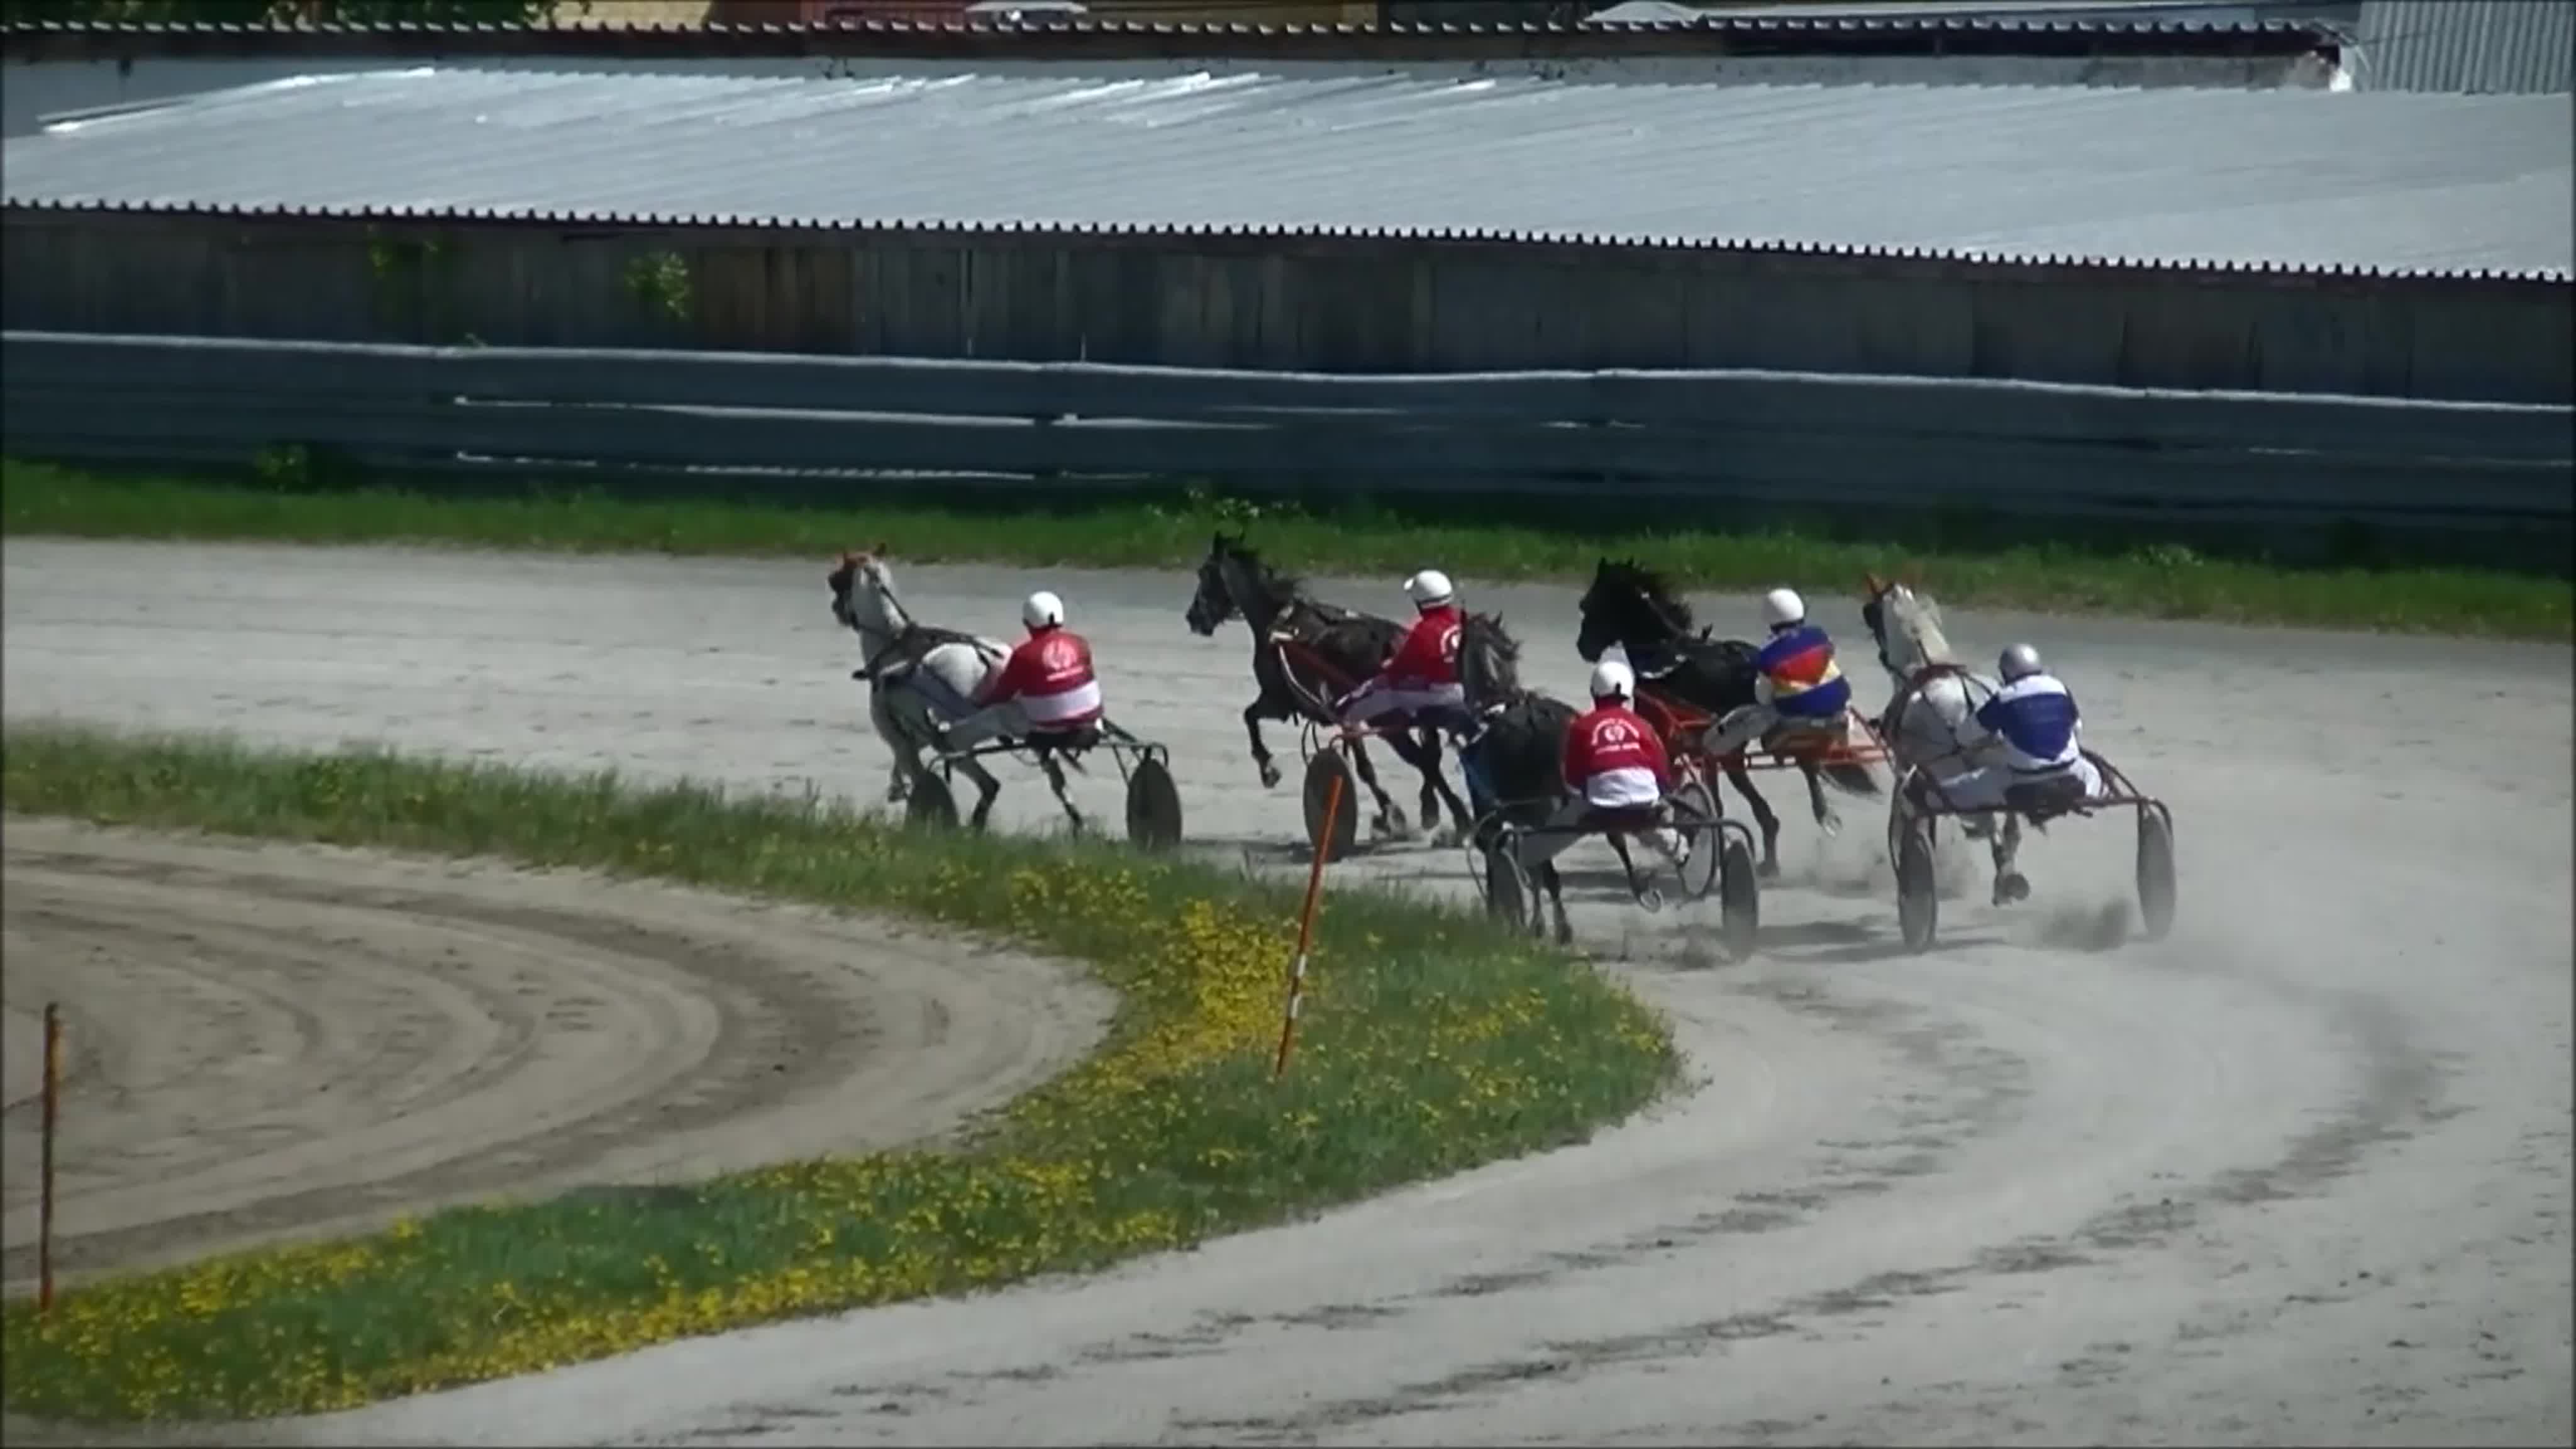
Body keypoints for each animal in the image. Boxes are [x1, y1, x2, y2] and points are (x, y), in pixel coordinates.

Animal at [835, 547, 1014, 830]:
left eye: (836, 580)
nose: (836, 609)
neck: (894, 643)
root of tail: (990, 662)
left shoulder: (900, 740)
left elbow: (920, 780)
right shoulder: (918, 731)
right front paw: (896, 786)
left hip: (953, 742)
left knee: (989, 784)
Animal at [1179, 531, 1473, 845]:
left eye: (1205, 574)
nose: (1193, 618)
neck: (1280, 625)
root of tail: (1392, 641)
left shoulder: (1282, 701)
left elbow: (1250, 717)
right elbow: (1251, 716)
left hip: (1386, 719)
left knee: (1423, 760)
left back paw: (1460, 819)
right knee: (1430, 757)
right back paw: (1437, 810)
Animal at [1566, 552, 1875, 866]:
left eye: (1589, 604)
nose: (1583, 647)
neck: (1666, 659)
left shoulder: (1674, 744)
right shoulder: (1702, 753)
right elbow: (1710, 803)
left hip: (1733, 747)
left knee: (1786, 786)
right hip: (1738, 748)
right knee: (1788, 786)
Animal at [1855, 572, 2029, 902]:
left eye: (1871, 614)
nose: (1882, 653)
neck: (1926, 664)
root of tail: (1971, 703)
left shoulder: (1907, 770)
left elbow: (1906, 821)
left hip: (1951, 772)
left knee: (1988, 821)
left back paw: (2003, 875)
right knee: (2009, 824)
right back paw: (2008, 876)